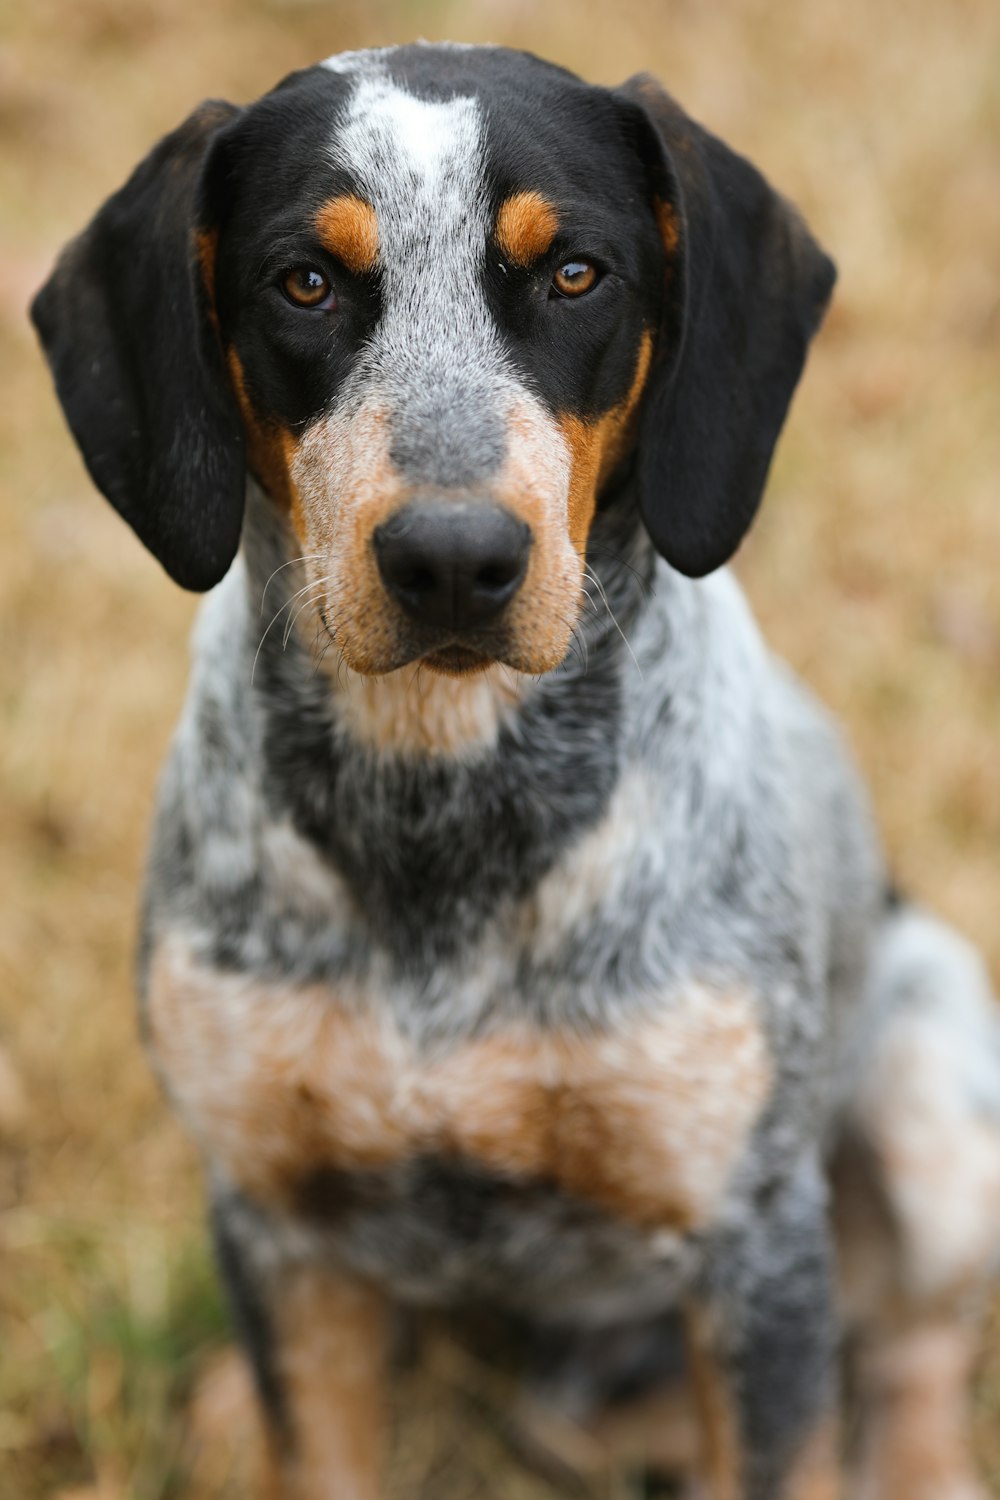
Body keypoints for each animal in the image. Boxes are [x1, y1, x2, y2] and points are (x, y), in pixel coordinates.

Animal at [27, 41, 1000, 1500]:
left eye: (575, 273)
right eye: (304, 281)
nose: (450, 559)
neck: (445, 806)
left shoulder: (755, 1251)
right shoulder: (282, 1232)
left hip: (938, 1090)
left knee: (914, 1347)